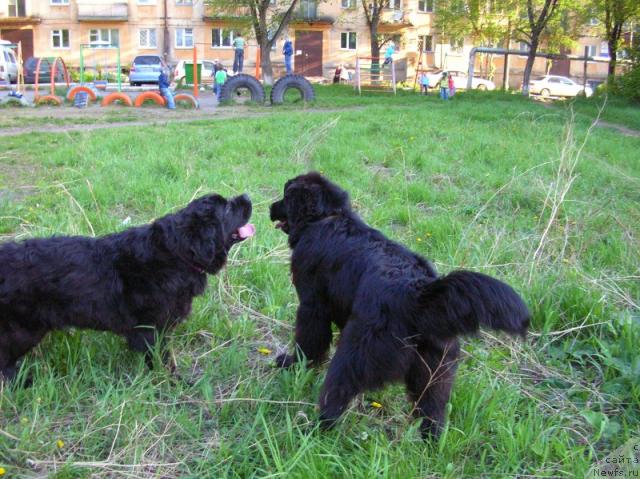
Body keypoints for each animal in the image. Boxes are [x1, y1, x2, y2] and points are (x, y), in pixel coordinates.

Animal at [0, 193, 255, 384]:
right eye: (228, 209)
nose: (247, 196)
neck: (177, 253)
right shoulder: (150, 329)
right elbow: (160, 358)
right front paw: (173, 381)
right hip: (22, 330)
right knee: (5, 360)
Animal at [270, 173, 528, 438]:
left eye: (286, 195)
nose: (270, 208)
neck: (326, 216)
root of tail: (418, 294)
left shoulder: (312, 306)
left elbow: (309, 341)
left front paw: (293, 363)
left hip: (355, 352)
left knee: (337, 393)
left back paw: (315, 428)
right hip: (435, 372)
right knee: (433, 411)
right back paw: (430, 440)